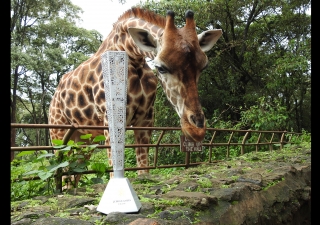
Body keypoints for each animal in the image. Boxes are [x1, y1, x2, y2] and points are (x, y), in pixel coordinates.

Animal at [48, 6, 222, 186]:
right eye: (161, 67)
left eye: (203, 66)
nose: (196, 130)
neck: (132, 56)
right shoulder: (110, 118)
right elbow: (113, 172)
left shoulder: (145, 120)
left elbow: (143, 170)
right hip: (59, 134)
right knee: (62, 171)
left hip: (85, 139)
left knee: (74, 173)